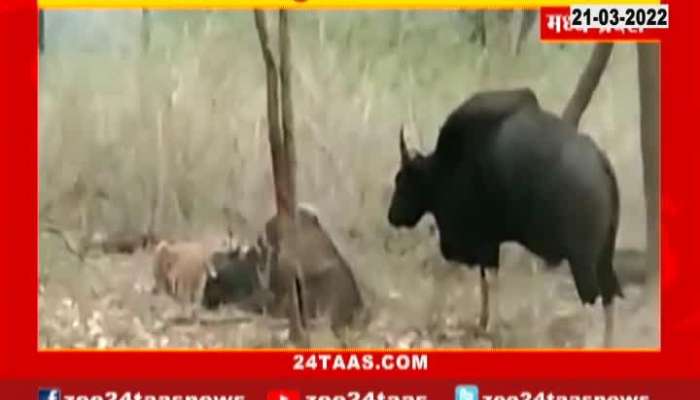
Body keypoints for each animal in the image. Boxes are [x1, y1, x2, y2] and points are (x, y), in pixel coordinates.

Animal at [388, 87, 624, 346]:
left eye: (401, 181)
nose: (392, 215)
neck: (448, 166)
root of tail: (601, 165)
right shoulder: (487, 243)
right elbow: (485, 281)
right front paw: (482, 323)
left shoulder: (483, 241)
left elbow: (489, 280)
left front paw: (492, 329)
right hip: (604, 255)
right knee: (609, 295)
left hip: (582, 260)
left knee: (592, 301)